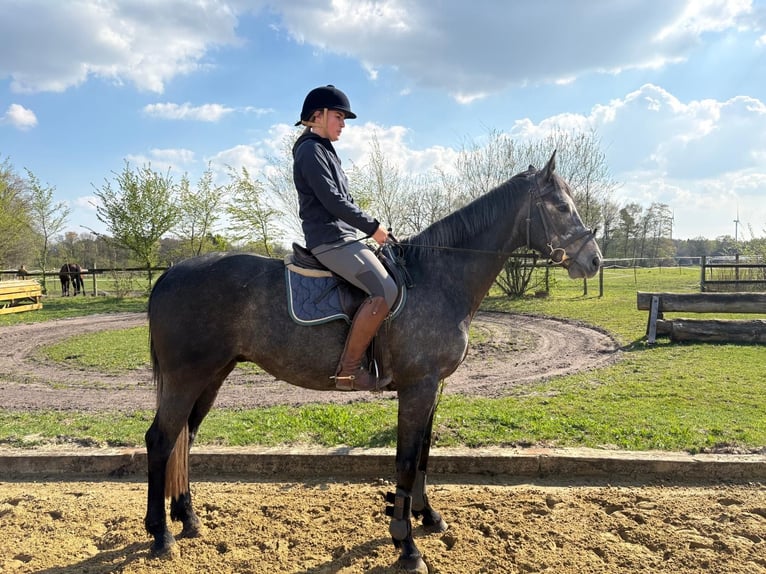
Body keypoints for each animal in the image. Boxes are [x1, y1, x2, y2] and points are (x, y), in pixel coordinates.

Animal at [144, 151, 603, 573]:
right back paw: (161, 535)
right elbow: (405, 460)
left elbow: (424, 454)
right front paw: (406, 544)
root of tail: (170, 273)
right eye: (562, 206)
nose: (594, 260)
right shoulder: (418, 388)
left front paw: (427, 516)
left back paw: (188, 519)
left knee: (185, 437)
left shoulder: (431, 388)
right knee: (161, 441)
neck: (436, 276)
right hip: (187, 377)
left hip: (213, 375)